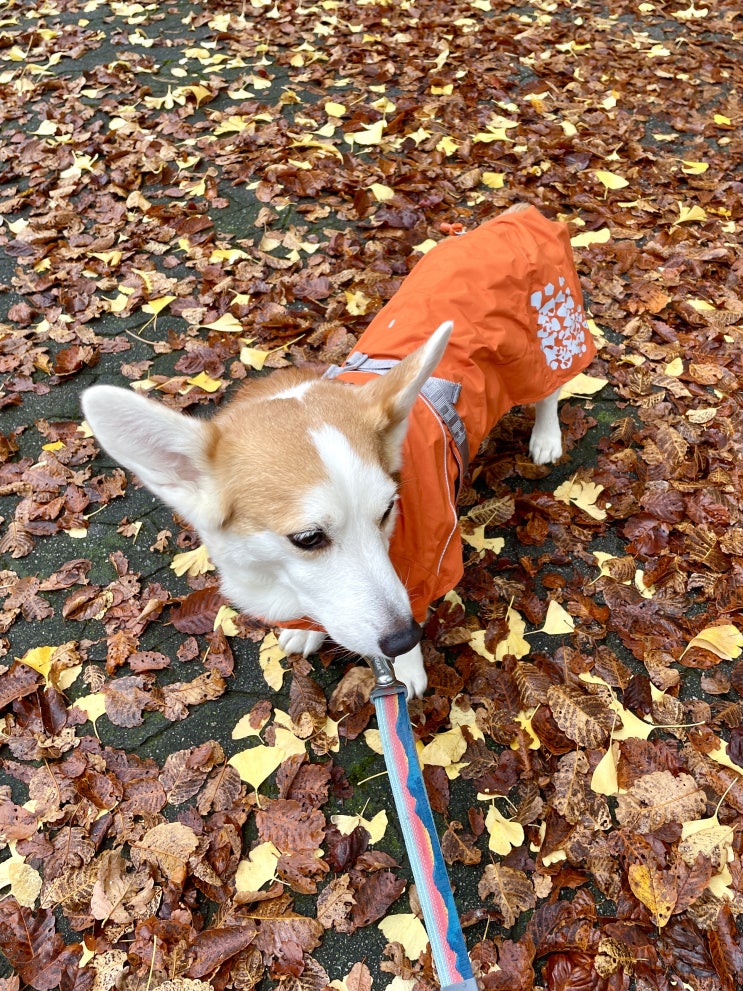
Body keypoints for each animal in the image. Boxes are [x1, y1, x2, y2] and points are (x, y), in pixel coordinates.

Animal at [82, 204, 596, 697]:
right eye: (308, 538)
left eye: (388, 510)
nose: (402, 639)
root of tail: (514, 216)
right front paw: (310, 632)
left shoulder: (427, 562)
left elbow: (417, 601)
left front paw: (406, 667)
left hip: (543, 347)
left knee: (550, 390)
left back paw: (546, 436)